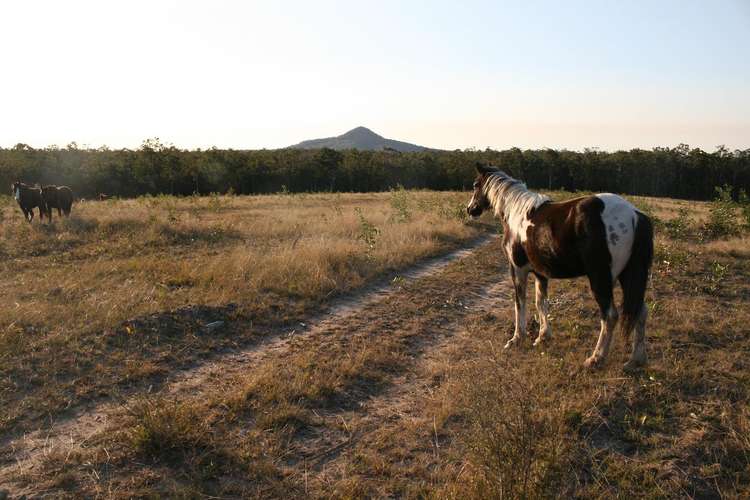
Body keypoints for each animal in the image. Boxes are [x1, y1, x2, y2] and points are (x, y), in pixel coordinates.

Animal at [468, 165, 656, 372]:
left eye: (476, 184)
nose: (470, 209)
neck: (517, 214)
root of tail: (634, 215)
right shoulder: (541, 273)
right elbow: (541, 302)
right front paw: (542, 337)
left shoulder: (517, 270)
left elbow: (520, 303)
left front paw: (516, 339)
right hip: (629, 276)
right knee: (640, 311)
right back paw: (636, 360)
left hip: (601, 279)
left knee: (610, 315)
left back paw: (595, 359)